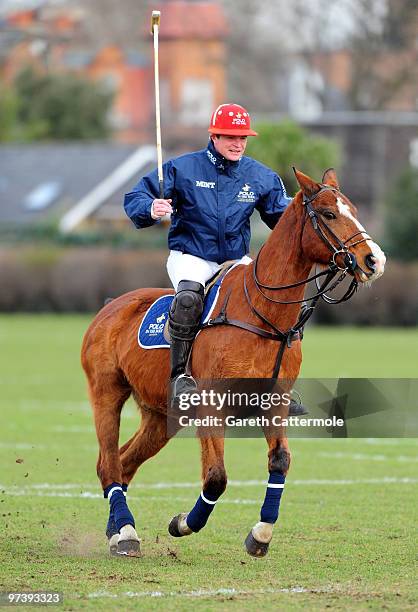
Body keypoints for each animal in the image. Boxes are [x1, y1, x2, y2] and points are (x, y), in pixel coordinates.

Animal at [81, 166, 386, 556]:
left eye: (355, 212)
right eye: (329, 214)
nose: (374, 261)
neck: (264, 314)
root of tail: (110, 306)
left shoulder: (275, 402)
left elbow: (280, 460)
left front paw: (260, 535)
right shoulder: (212, 404)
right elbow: (215, 477)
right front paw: (182, 523)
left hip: (161, 415)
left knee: (123, 463)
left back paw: (117, 530)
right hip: (106, 392)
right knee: (108, 463)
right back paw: (127, 534)